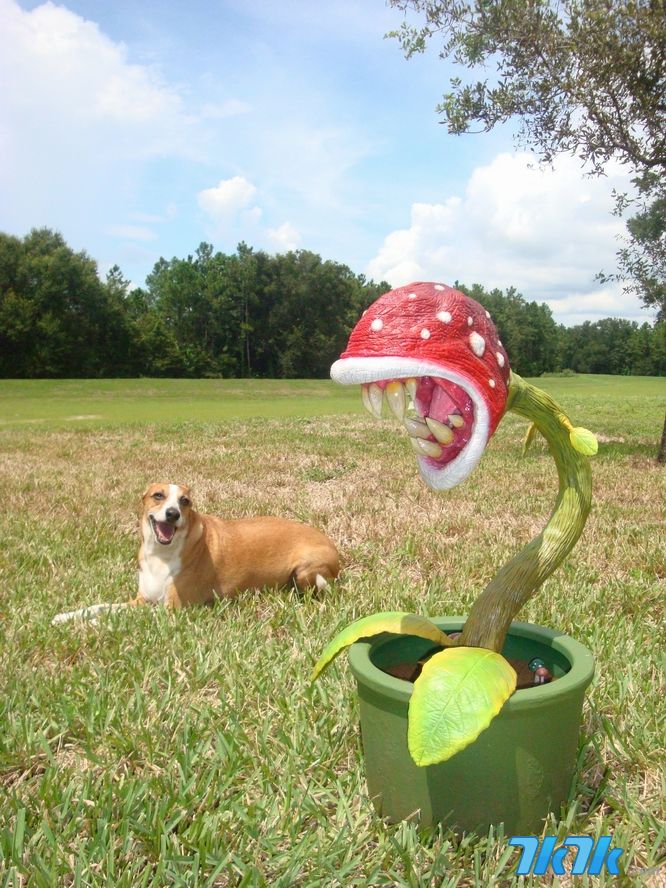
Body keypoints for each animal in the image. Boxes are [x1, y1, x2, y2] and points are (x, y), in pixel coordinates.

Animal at [52, 482, 340, 620]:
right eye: (158, 495)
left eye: (185, 501)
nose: (172, 513)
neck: (161, 555)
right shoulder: (141, 600)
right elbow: (101, 607)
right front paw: (66, 616)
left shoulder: (171, 608)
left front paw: (89, 626)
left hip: (305, 569)